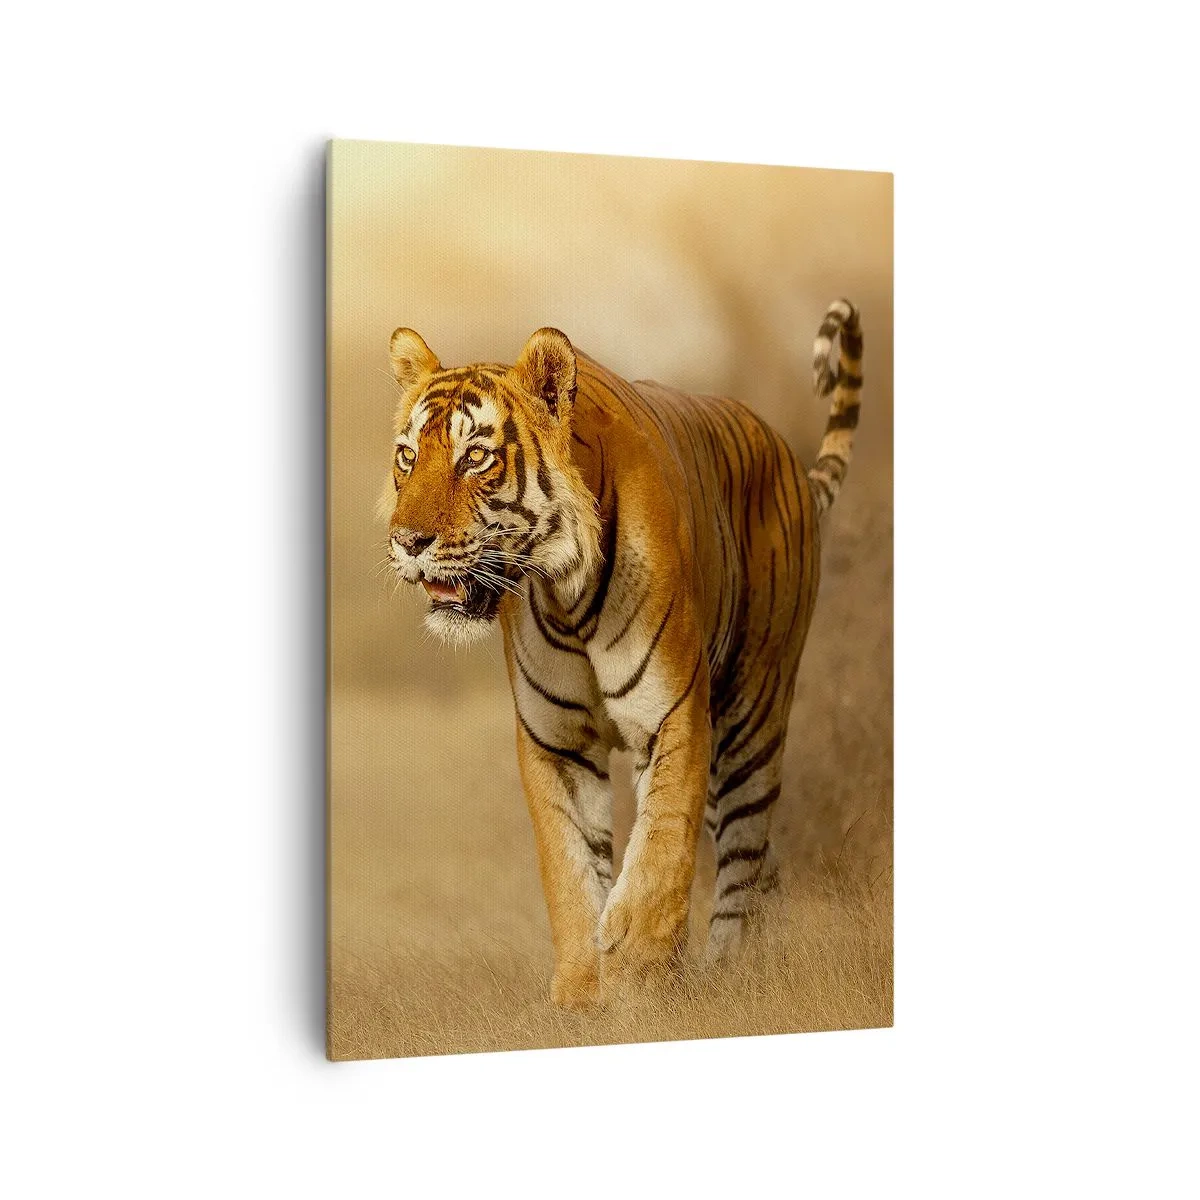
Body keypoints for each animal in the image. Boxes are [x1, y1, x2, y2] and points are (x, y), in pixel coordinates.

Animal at [382, 299, 863, 1009]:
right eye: (408, 457)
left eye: (475, 457)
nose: (407, 542)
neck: (563, 590)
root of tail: (788, 458)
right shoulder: (554, 741)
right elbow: (571, 868)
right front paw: (584, 995)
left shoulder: (674, 715)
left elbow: (659, 848)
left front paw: (638, 975)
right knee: (760, 863)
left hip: (751, 718)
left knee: (743, 857)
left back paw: (732, 974)